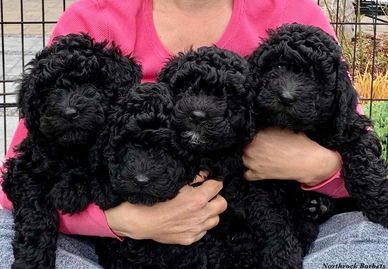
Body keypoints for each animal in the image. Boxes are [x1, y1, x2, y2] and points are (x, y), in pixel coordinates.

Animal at [1, 33, 141, 268]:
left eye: (92, 86)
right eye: (49, 91)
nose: (69, 112)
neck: (74, 147)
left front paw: (70, 191)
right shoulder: (22, 169)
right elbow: (35, 210)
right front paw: (31, 260)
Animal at [249, 24, 384, 227]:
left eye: (316, 77)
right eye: (278, 66)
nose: (286, 97)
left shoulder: (350, 127)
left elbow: (362, 154)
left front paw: (379, 202)